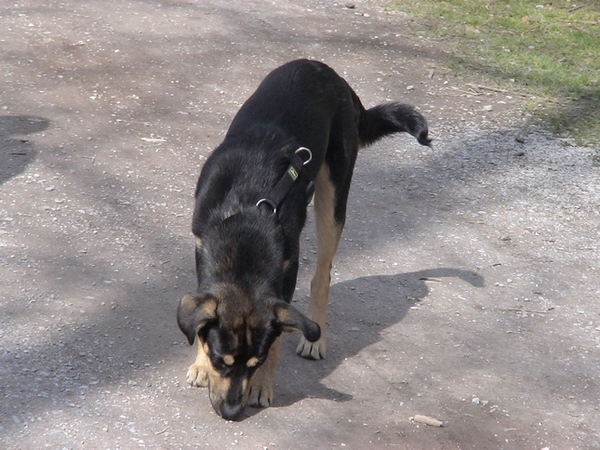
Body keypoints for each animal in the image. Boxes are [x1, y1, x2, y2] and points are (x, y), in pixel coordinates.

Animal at [178, 58, 432, 420]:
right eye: (218, 359)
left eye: (254, 363)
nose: (230, 412)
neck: (246, 217)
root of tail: (328, 72)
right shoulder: (202, 251)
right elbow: (202, 313)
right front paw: (199, 363)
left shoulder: (288, 270)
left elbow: (279, 336)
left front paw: (262, 386)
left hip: (333, 197)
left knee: (322, 274)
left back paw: (315, 339)